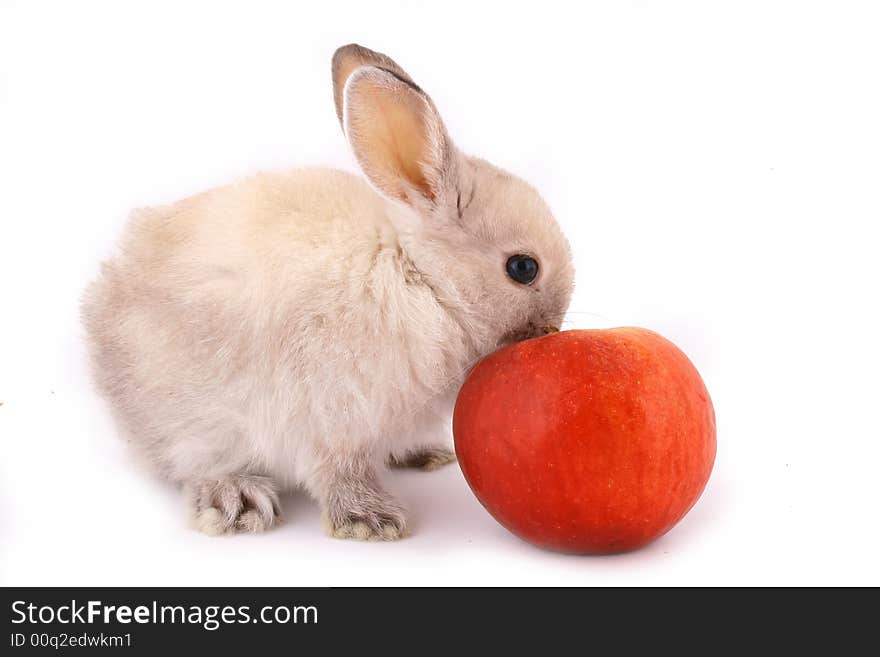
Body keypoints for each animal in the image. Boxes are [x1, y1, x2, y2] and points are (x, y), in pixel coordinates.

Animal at [82, 44, 576, 540]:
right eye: (523, 268)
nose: (553, 327)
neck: (422, 278)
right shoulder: (330, 414)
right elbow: (337, 471)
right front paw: (370, 521)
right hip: (197, 423)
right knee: (196, 464)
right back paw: (236, 502)